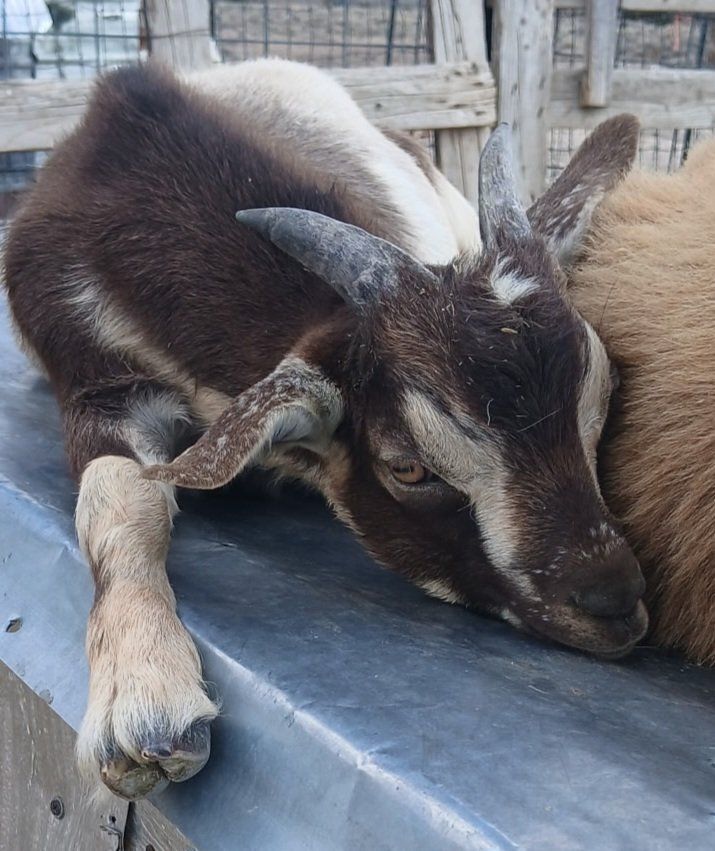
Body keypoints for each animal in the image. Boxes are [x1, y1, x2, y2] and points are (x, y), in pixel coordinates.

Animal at [3, 59, 644, 799]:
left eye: (604, 396)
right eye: (408, 467)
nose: (614, 600)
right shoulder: (94, 379)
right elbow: (119, 496)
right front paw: (144, 698)